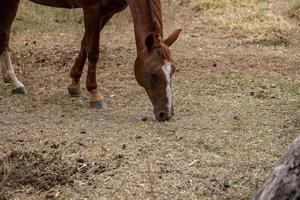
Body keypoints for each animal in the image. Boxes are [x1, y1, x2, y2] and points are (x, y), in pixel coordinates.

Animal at [0, 0, 180, 121]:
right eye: (152, 72)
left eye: (173, 70)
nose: (166, 113)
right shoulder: (92, 9)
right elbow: (93, 52)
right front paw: (95, 94)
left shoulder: (106, 12)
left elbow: (85, 45)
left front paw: (74, 84)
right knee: (4, 37)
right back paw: (15, 82)